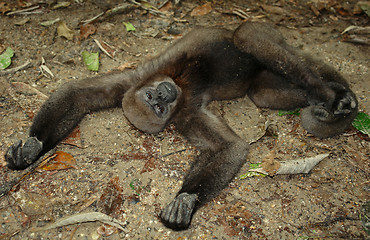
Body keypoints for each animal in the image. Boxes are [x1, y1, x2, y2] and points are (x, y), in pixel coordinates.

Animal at [3, 23, 358, 231]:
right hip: (265, 85)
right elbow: (229, 147)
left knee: (248, 36)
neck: (179, 87)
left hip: (273, 38)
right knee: (263, 91)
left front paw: (31, 145)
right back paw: (329, 97)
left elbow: (77, 93)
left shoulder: (135, 79)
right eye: (158, 107)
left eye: (154, 98)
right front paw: (33, 148)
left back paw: (335, 95)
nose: (163, 94)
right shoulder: (183, 115)